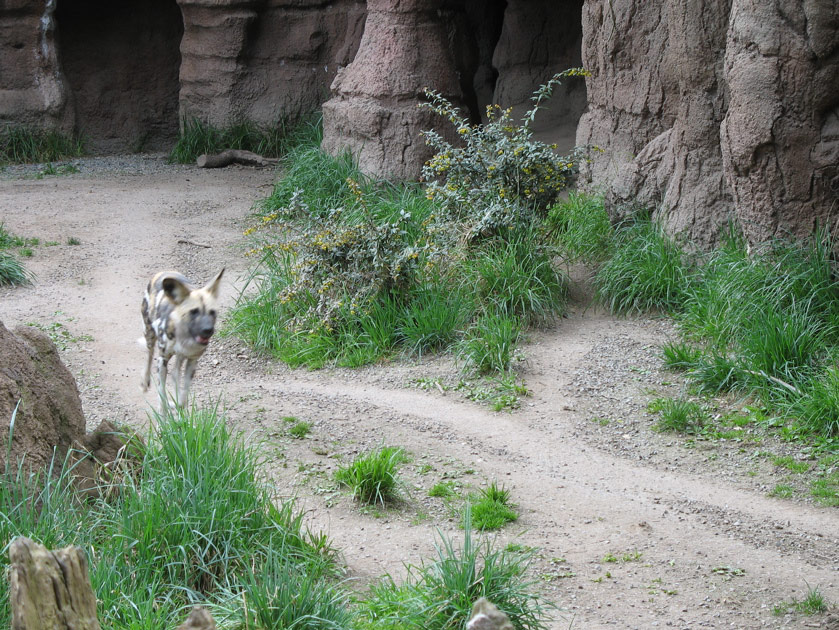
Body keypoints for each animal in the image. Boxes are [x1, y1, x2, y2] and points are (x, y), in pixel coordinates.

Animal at [143, 270, 225, 410]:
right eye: (194, 312)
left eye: (212, 312)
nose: (208, 330)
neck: (185, 337)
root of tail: (164, 271)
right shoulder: (162, 361)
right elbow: (161, 396)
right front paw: (163, 415)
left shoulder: (192, 361)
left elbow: (184, 395)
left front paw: (177, 405)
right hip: (150, 334)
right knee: (149, 355)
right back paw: (145, 382)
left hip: (180, 356)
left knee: (175, 373)